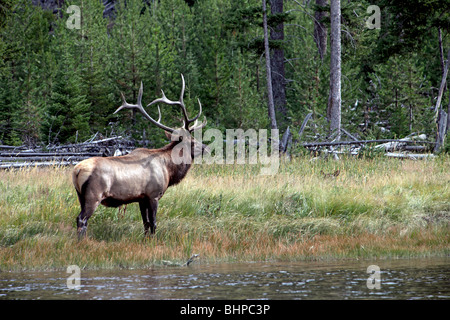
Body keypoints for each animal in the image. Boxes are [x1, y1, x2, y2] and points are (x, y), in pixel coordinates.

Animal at [73, 75, 208, 239]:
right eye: (192, 141)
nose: (206, 148)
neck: (168, 169)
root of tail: (77, 170)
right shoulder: (153, 195)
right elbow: (153, 223)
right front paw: (153, 240)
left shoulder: (141, 198)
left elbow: (145, 223)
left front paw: (145, 239)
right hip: (94, 195)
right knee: (81, 219)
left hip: (80, 196)